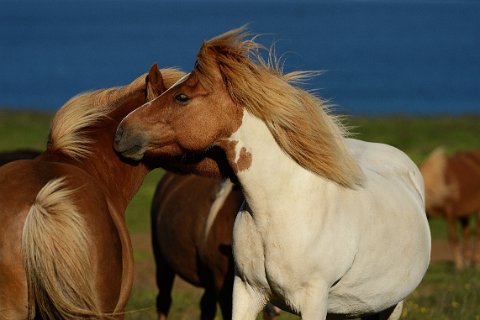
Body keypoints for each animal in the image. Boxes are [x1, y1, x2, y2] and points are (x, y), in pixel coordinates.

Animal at [115, 28, 432, 320]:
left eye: (182, 97)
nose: (121, 132)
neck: (279, 211)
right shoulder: (246, 292)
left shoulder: (314, 302)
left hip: (391, 305)